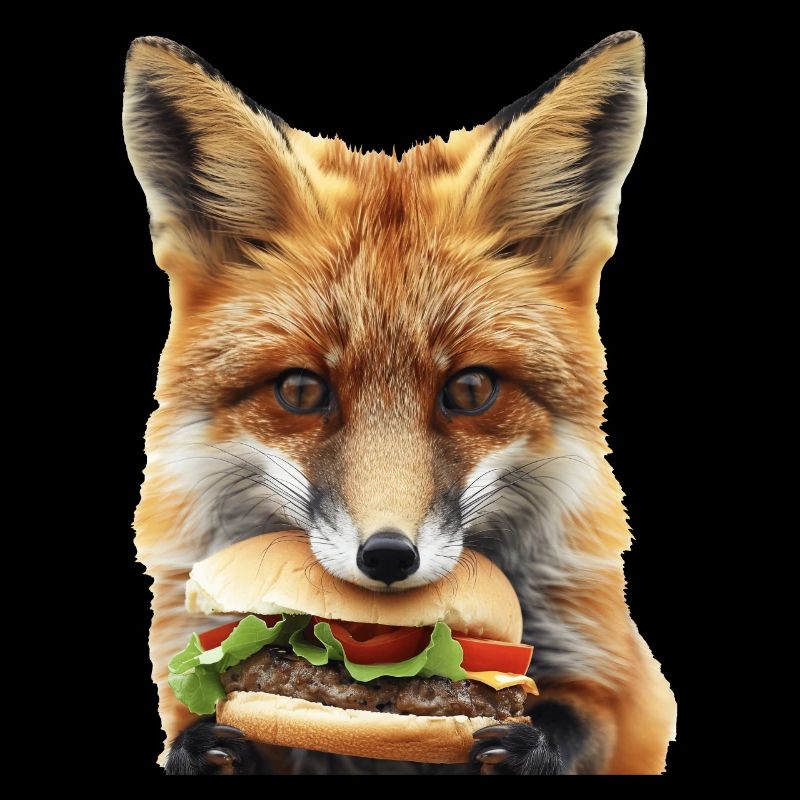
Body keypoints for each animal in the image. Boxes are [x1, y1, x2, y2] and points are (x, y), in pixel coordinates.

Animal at [124, 31, 676, 775]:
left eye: (470, 390)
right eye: (302, 390)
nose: (388, 556)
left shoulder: (624, 683)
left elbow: (585, 725)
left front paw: (527, 745)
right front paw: (206, 747)